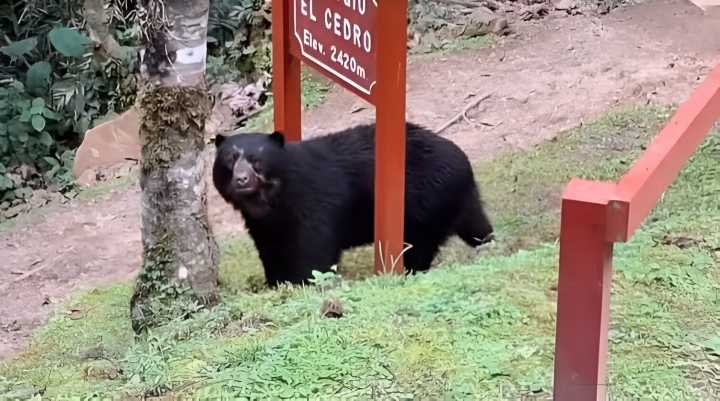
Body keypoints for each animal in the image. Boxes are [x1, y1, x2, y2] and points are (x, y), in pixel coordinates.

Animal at [212, 122, 493, 286]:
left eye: (256, 160)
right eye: (230, 159)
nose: (241, 179)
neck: (274, 199)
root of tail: (462, 159)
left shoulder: (312, 203)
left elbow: (313, 249)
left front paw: (304, 281)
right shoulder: (263, 224)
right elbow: (270, 249)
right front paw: (277, 281)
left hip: (425, 204)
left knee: (419, 247)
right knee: (476, 224)